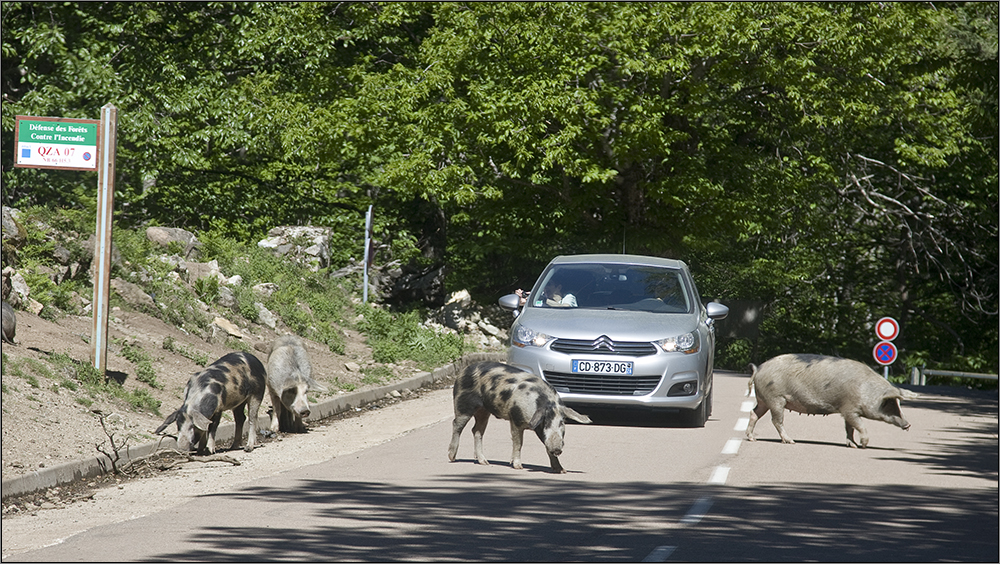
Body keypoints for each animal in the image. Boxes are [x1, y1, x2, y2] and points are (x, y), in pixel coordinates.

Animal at [448, 362, 592, 472]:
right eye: (546, 422)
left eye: (562, 423)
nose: (556, 448)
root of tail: (464, 370)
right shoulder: (515, 419)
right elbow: (518, 443)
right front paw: (518, 466)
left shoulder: (538, 428)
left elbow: (545, 446)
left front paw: (561, 470)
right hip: (462, 404)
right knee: (457, 425)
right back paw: (452, 457)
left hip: (484, 411)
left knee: (476, 430)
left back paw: (485, 462)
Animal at [744, 352, 916, 450]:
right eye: (890, 404)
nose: (908, 424)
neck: (866, 391)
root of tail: (758, 369)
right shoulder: (849, 409)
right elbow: (859, 425)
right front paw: (863, 445)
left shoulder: (847, 412)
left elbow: (849, 428)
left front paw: (853, 446)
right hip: (776, 399)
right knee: (776, 420)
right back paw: (791, 441)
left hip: (764, 400)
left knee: (753, 413)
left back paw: (752, 438)